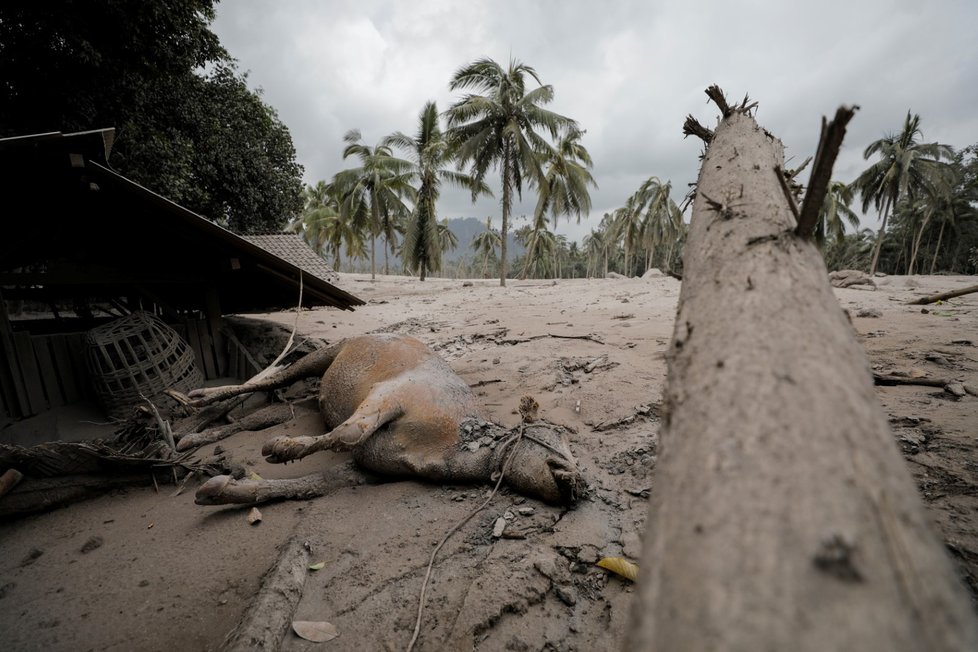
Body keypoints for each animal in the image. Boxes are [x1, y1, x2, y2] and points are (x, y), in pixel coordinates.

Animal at [187, 334, 584, 506]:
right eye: (556, 433)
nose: (580, 482)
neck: (455, 441)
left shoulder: (370, 467)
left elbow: (313, 484)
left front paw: (221, 490)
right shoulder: (393, 393)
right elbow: (350, 431)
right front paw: (280, 449)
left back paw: (197, 434)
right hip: (330, 352)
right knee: (277, 376)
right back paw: (198, 398)